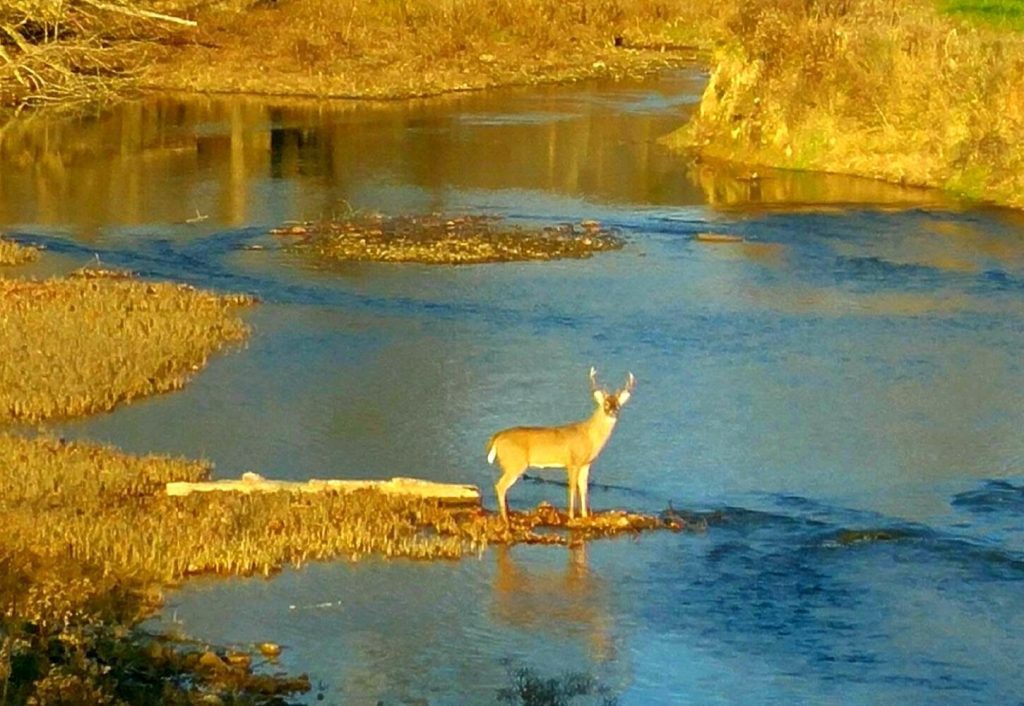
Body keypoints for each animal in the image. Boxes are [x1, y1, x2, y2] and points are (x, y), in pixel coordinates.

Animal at [485, 368, 630, 522]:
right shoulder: (572, 462)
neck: (589, 435)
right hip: (515, 463)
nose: (613, 412)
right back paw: (506, 519)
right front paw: (572, 516)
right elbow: (572, 488)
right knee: (500, 486)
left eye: (618, 405)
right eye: (605, 404)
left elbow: (584, 488)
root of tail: (497, 437)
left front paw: (585, 516)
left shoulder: (586, 464)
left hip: (508, 464)